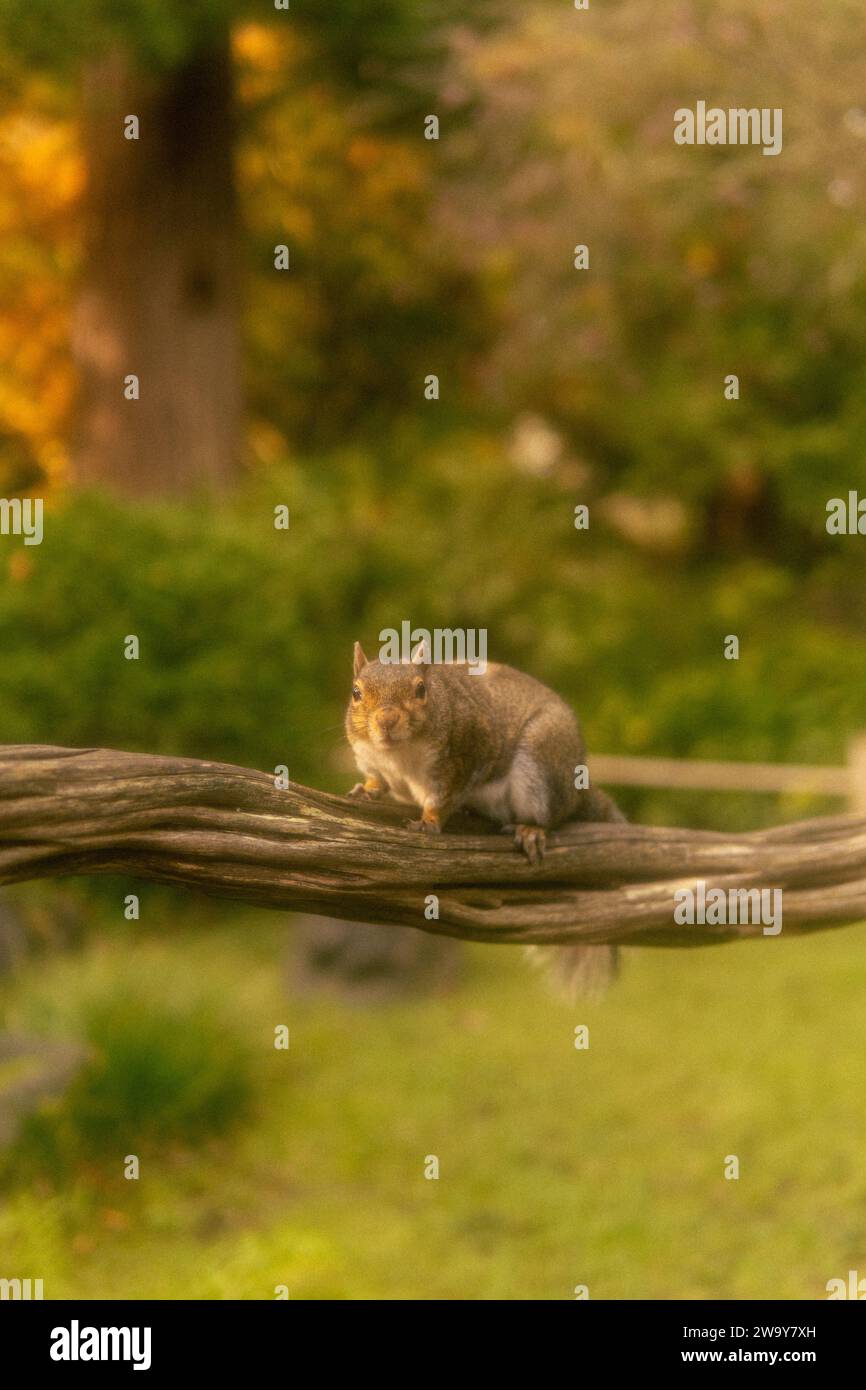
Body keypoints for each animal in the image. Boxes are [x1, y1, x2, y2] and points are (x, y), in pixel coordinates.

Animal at [341, 636, 619, 995]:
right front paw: (366, 790)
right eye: (355, 692)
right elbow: (377, 781)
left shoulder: (469, 753)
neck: (399, 755)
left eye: (421, 689)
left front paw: (430, 820)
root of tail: (577, 794)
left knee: (550, 814)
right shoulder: (371, 760)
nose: (386, 720)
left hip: (541, 759)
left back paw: (531, 829)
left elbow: (445, 797)